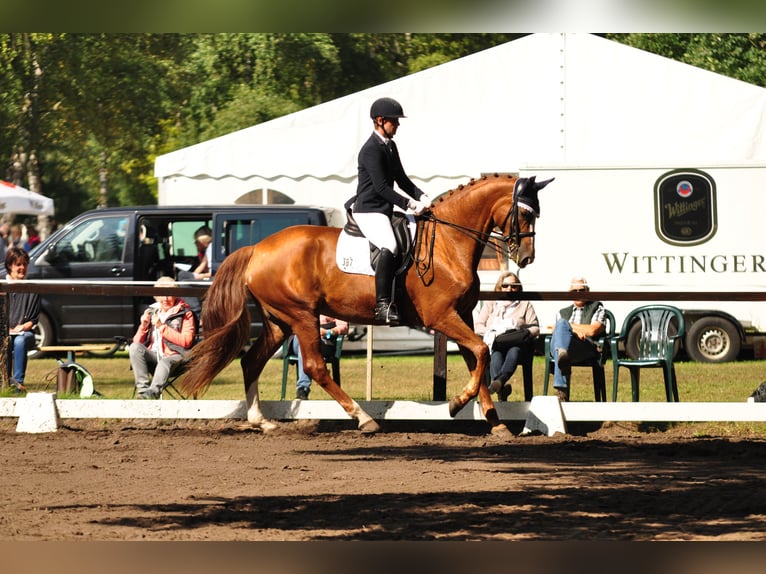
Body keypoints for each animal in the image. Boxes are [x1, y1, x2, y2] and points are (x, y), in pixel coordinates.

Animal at [180, 174, 552, 436]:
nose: (526, 257)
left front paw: (495, 422)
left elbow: (478, 356)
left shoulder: (461, 316)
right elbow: (482, 351)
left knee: (252, 361)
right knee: (314, 366)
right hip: (302, 315)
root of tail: (256, 248)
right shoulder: (442, 317)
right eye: (524, 213)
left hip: (279, 320)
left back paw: (263, 421)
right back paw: (362, 418)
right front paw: (456, 403)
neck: (450, 243)